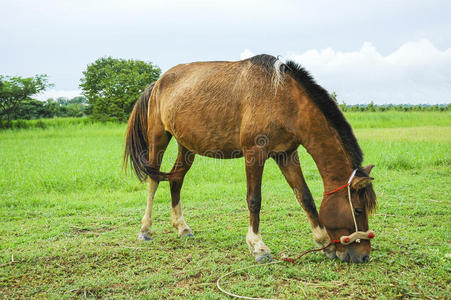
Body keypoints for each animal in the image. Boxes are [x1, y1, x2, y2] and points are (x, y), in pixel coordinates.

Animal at [123, 54, 378, 262]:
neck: (282, 98)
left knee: (176, 180)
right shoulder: (254, 154)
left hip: (186, 146)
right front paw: (258, 246)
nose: (364, 256)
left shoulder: (286, 154)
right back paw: (145, 230)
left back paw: (182, 228)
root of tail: (157, 83)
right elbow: (255, 199)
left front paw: (323, 242)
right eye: (358, 210)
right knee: (153, 180)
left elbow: (305, 196)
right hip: (158, 138)